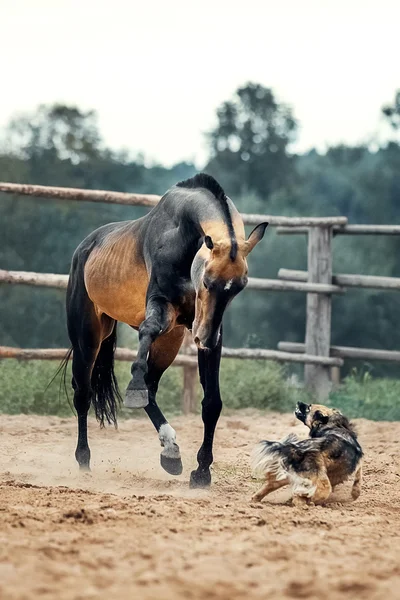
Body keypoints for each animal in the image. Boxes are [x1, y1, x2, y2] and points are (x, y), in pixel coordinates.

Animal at [66, 172, 268, 488]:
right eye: (207, 280)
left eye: (239, 287)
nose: (204, 338)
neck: (184, 237)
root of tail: (84, 250)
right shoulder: (160, 305)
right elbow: (146, 331)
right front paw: (133, 385)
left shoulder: (208, 332)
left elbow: (212, 403)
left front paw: (202, 472)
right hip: (88, 338)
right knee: (83, 394)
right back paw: (84, 462)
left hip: (169, 343)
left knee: (151, 388)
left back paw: (171, 452)